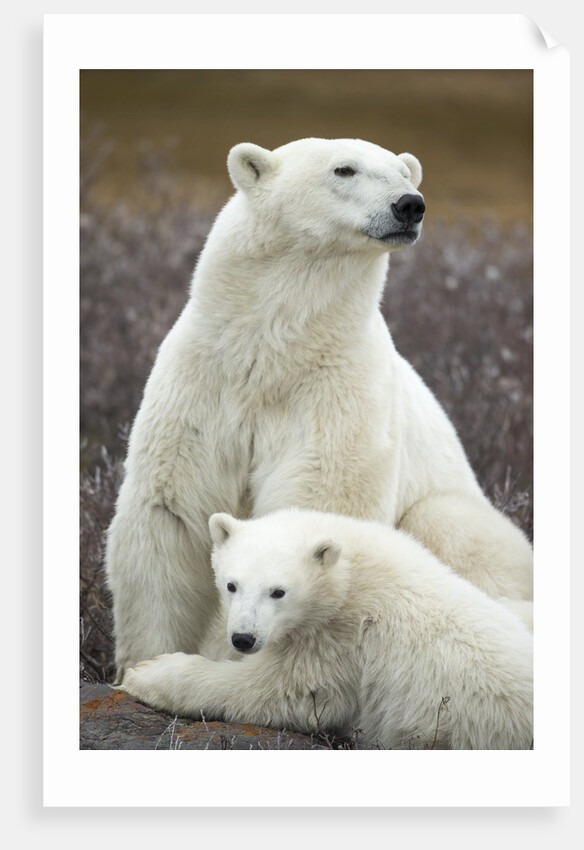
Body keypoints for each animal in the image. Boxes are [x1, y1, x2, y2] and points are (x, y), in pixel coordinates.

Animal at [106, 137, 533, 681]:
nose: (410, 205)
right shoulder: (204, 382)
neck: (272, 350)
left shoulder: (335, 390)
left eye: (404, 172)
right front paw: (142, 664)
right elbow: (172, 512)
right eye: (344, 169)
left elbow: (317, 500)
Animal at [120, 509, 534, 750]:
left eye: (278, 591)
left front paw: (146, 673)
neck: (349, 570)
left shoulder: (343, 637)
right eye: (231, 585)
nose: (243, 638)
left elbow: (289, 691)